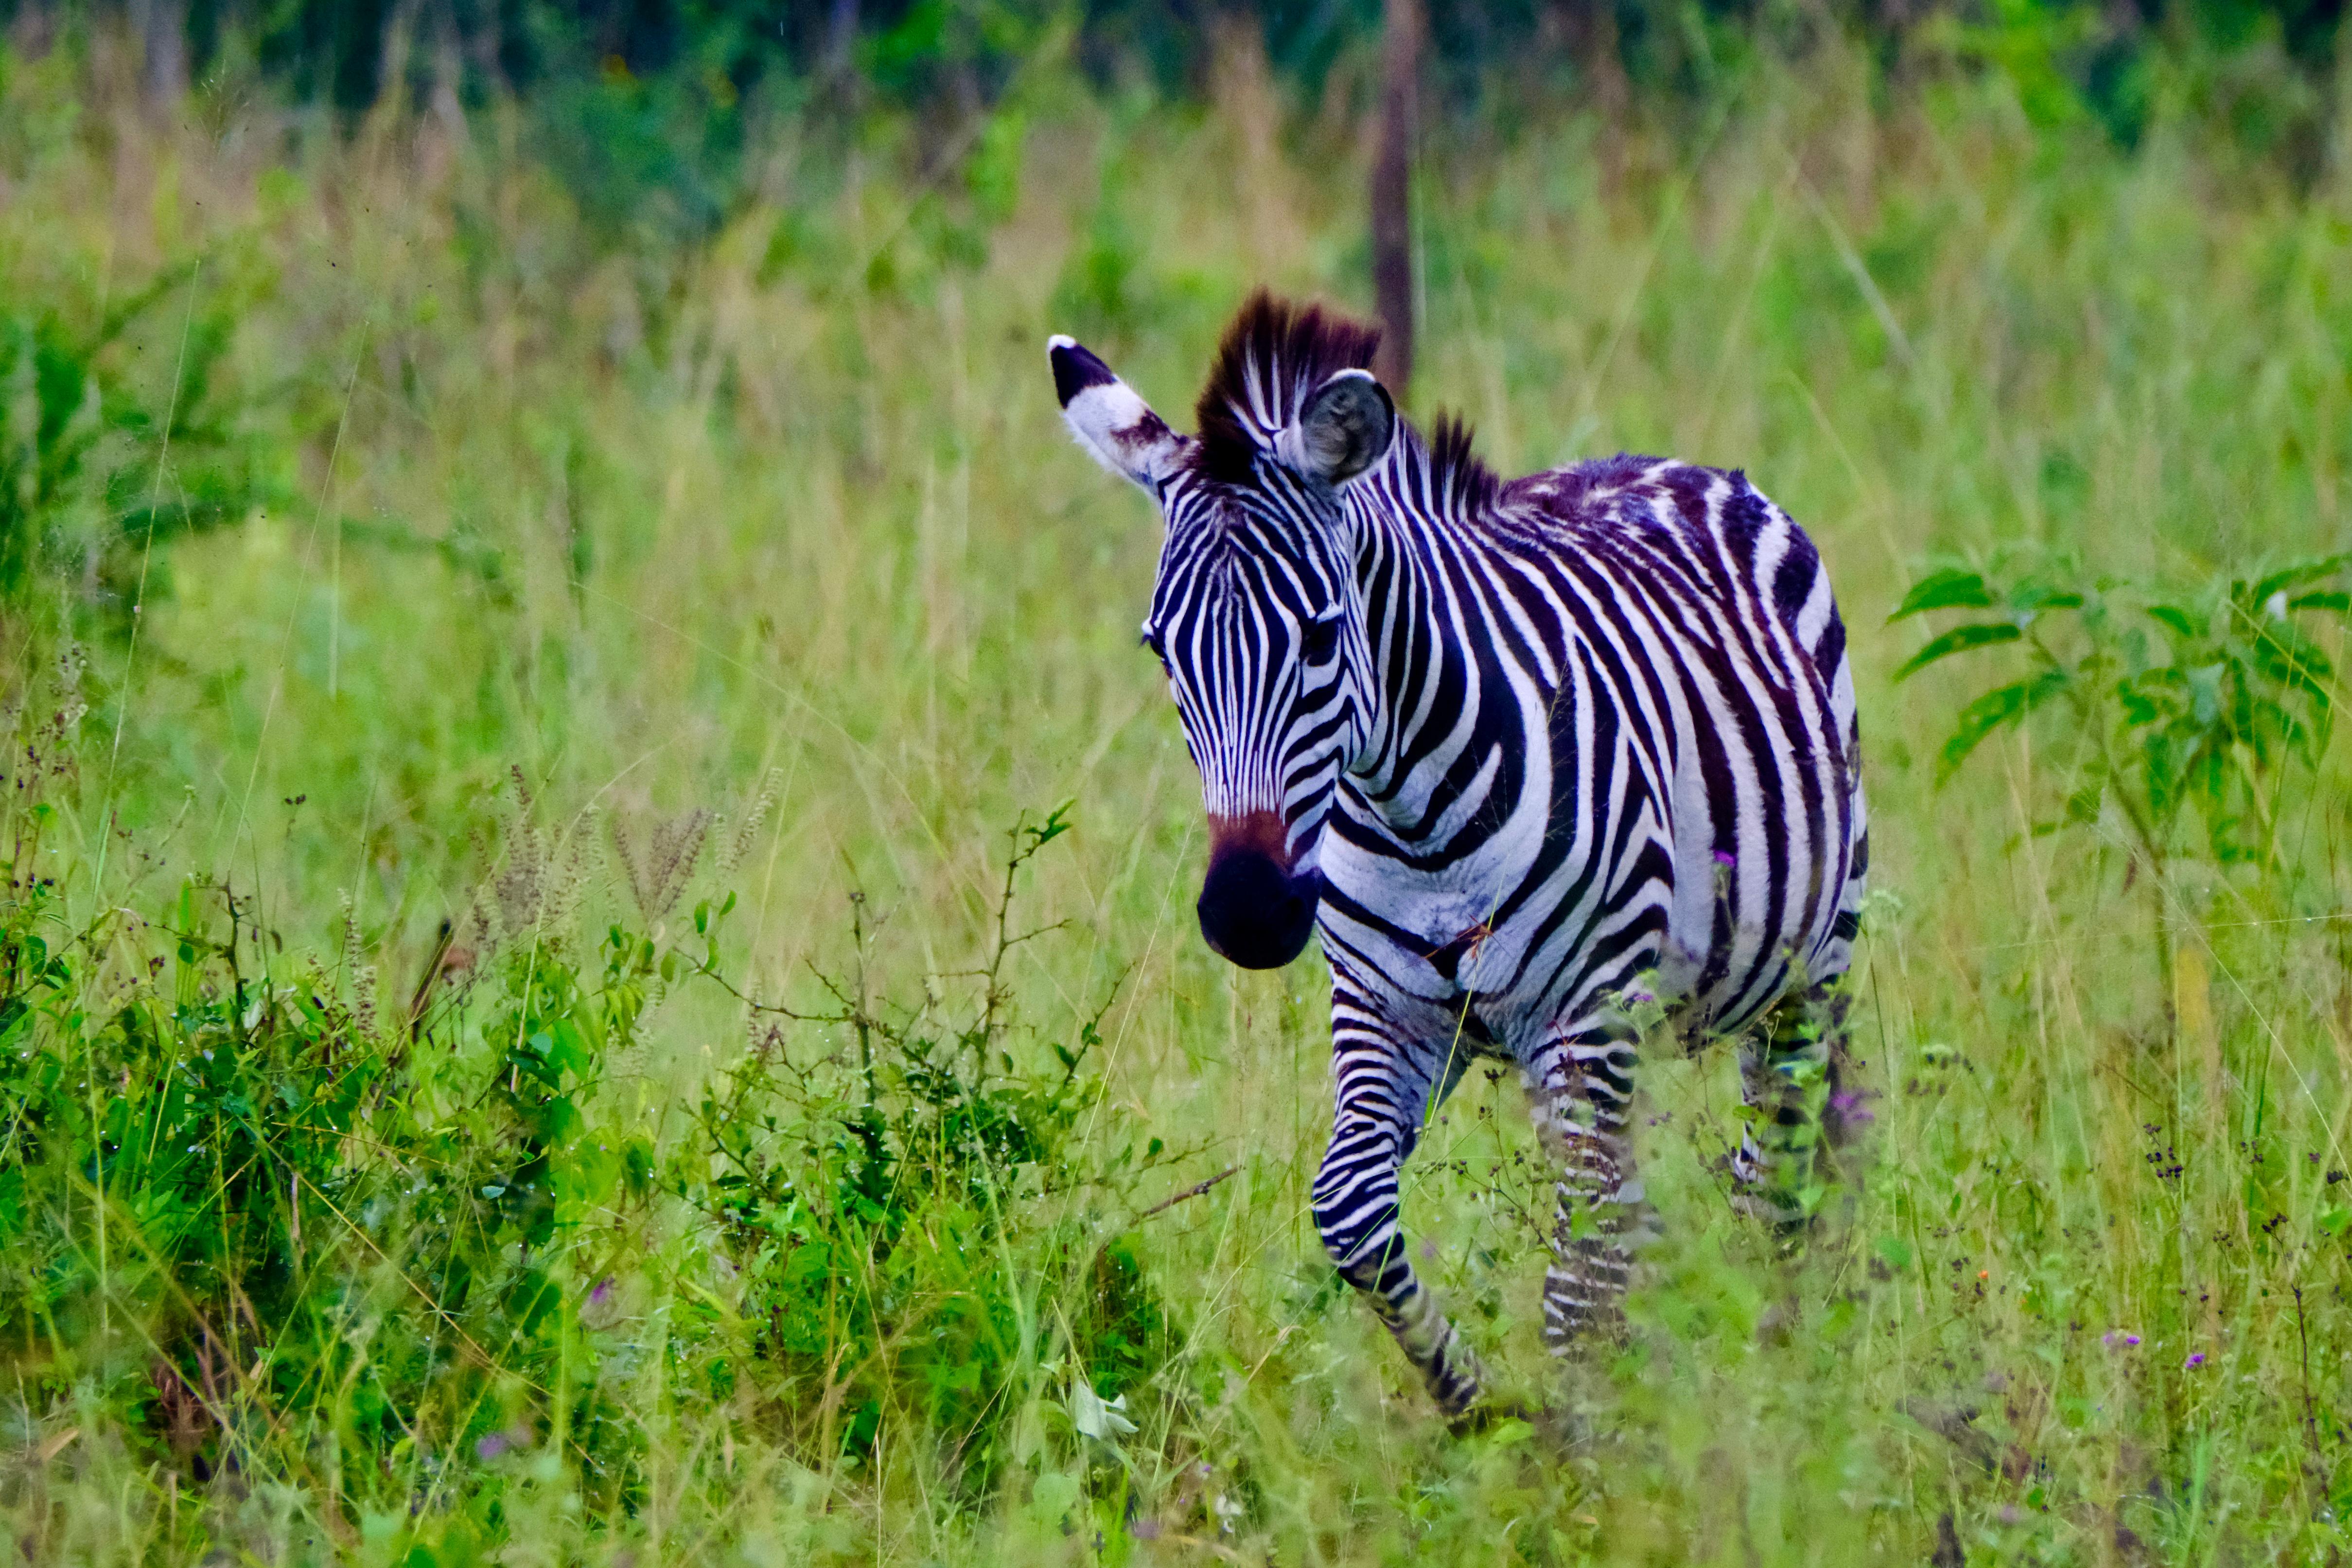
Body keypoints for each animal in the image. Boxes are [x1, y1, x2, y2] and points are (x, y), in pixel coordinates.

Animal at [1048, 293, 1867, 1421]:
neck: (1414, 818)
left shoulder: (1584, 1013)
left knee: (1774, 1175)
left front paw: (1582, 1440)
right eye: (1161, 650)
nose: (1247, 914)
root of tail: (1665, 461)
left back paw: (1779, 1375)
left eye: (1320, 638)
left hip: (1806, 965)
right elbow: (1351, 1208)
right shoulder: (1382, 1007)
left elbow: (1580, 1271)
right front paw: (1479, 1409)